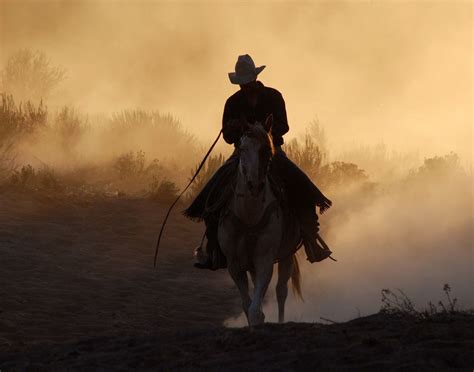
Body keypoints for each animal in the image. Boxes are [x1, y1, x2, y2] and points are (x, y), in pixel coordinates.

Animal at [218, 115, 302, 326]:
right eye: (242, 149)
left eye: (266, 149)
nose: (254, 185)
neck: (249, 215)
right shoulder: (234, 265)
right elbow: (247, 305)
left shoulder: (265, 258)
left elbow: (255, 309)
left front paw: (260, 318)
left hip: (287, 255)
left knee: (281, 291)